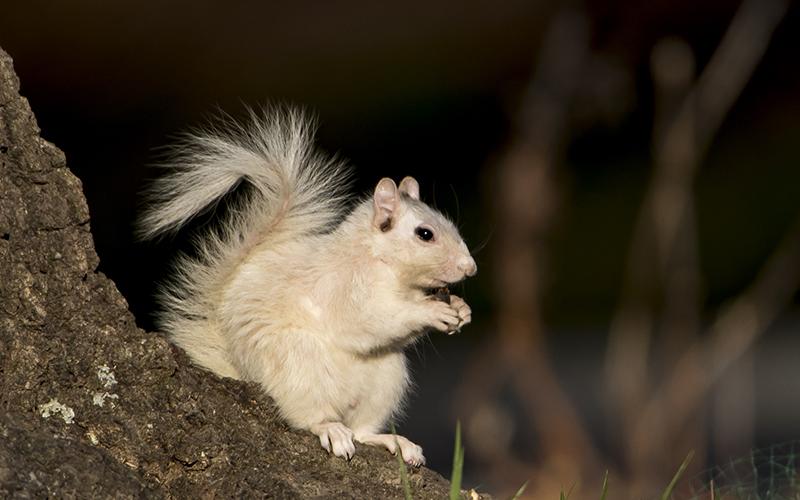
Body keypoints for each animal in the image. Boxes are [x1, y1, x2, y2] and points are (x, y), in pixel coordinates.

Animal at [138, 107, 476, 466]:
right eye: (425, 234)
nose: (470, 268)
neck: (382, 263)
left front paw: (461, 309)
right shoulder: (345, 286)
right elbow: (369, 319)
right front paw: (432, 311)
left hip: (385, 377)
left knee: (362, 430)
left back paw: (392, 441)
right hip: (299, 363)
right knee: (312, 417)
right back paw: (331, 429)